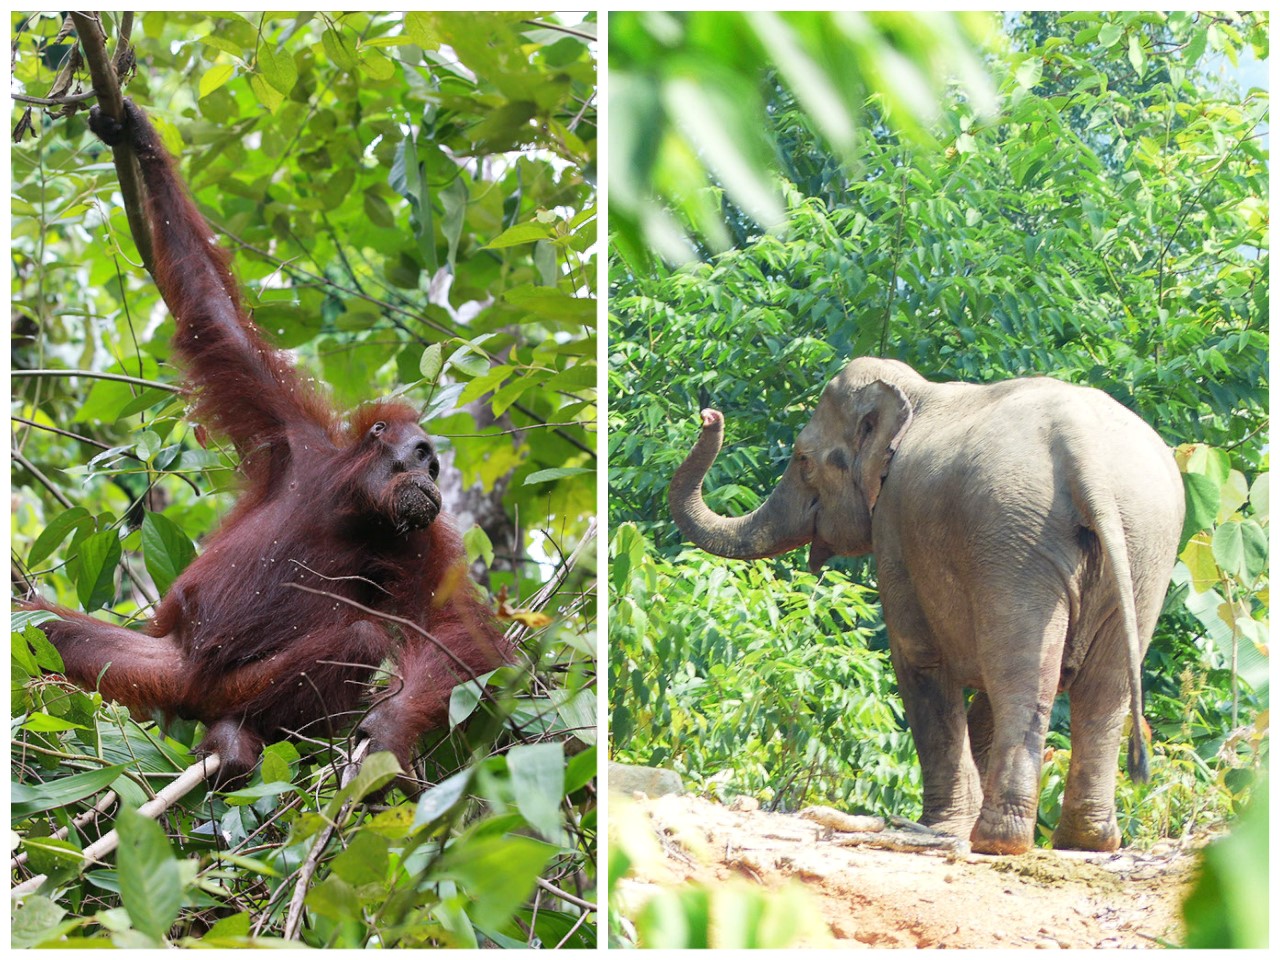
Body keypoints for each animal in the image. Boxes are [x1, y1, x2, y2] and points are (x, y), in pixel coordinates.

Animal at [670, 358, 1187, 855]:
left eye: (803, 460)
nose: (709, 415)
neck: (917, 393)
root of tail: (1085, 455)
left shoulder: (894, 527)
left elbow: (918, 657)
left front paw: (939, 827)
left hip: (1015, 544)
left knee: (1022, 679)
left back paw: (997, 841)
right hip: (1143, 548)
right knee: (1104, 692)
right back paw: (1086, 841)